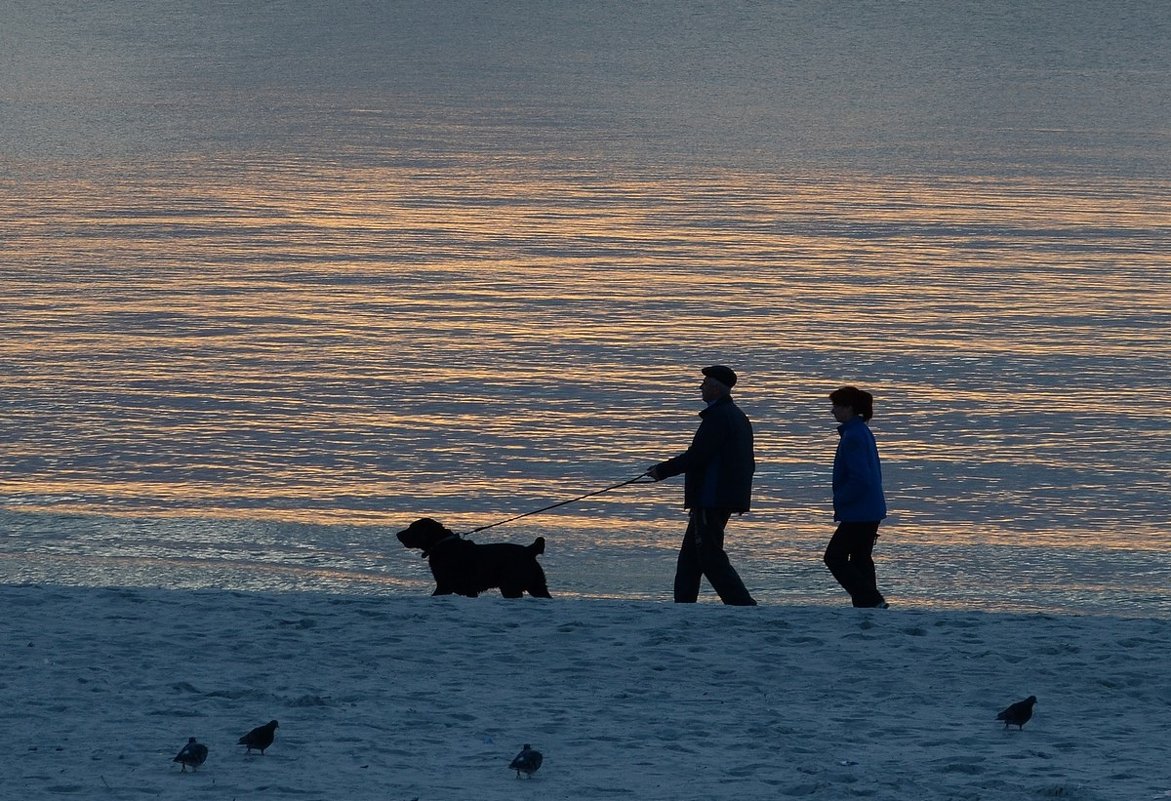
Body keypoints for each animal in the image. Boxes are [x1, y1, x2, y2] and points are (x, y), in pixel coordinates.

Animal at [398, 515, 552, 597]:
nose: (397, 534)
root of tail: (529, 550)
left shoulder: (447, 586)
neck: (442, 545)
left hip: (511, 587)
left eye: (412, 528)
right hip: (536, 586)